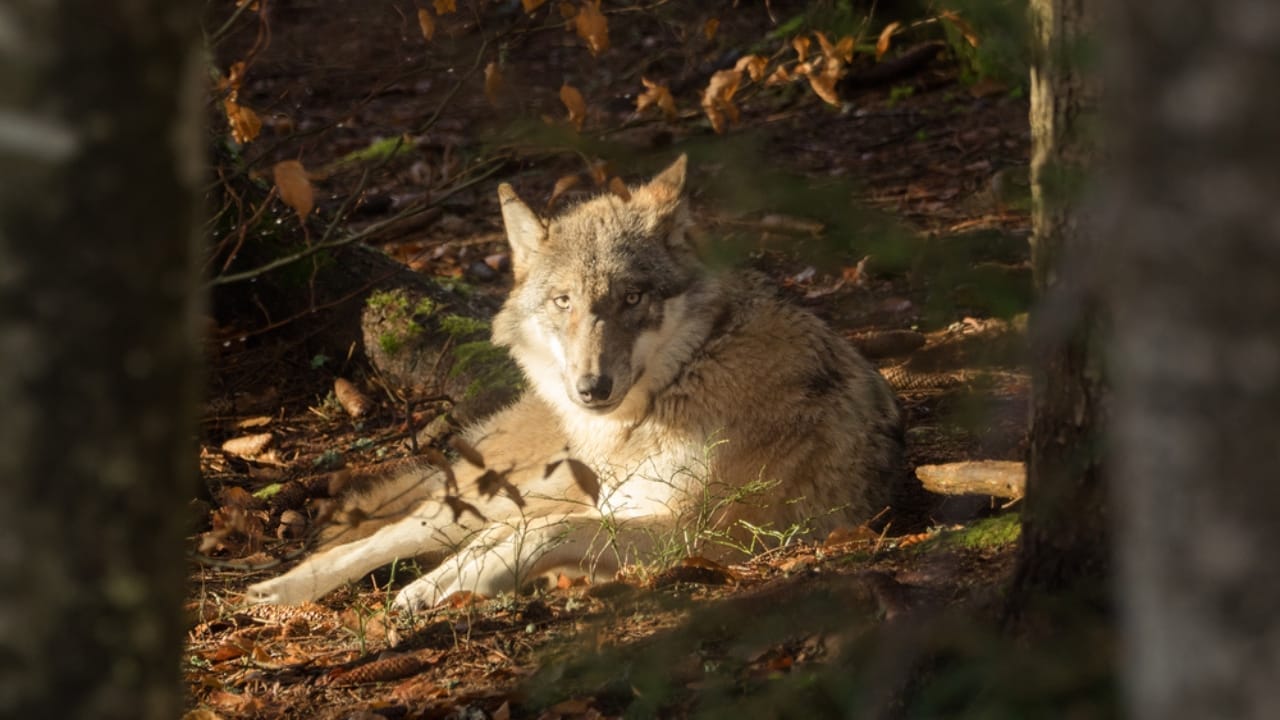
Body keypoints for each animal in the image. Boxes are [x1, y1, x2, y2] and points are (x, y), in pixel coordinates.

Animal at [247, 156, 903, 611]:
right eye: (565, 301)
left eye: (632, 298)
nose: (591, 388)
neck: (679, 386)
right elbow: (529, 533)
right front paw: (442, 585)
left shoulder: (712, 538)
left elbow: (538, 535)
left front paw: (454, 584)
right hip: (507, 488)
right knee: (395, 531)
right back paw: (281, 589)